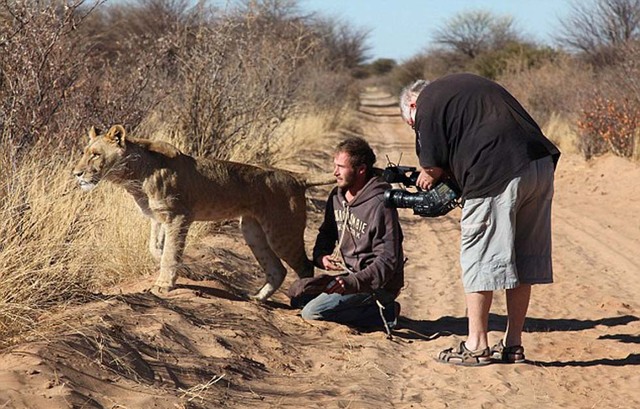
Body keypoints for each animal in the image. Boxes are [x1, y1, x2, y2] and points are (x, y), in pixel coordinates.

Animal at [73, 123, 336, 300]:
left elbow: (170, 253)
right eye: (84, 152)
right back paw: (257, 298)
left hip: (282, 232)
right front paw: (186, 270)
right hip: (253, 231)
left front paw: (163, 285)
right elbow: (156, 248)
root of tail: (295, 176)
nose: (76, 173)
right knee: (277, 269)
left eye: (95, 154)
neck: (134, 177)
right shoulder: (159, 218)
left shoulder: (179, 217)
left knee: (305, 266)